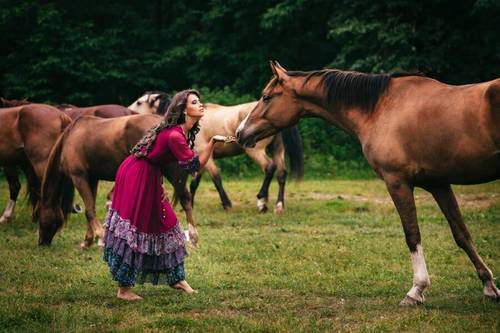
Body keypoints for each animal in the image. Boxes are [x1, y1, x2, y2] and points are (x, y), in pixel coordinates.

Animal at [37, 113, 199, 246]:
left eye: (40, 217)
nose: (41, 242)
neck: (70, 138)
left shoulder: (79, 177)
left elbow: (89, 211)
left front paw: (101, 237)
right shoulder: (92, 179)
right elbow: (91, 207)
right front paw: (88, 240)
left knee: (184, 198)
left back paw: (191, 236)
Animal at [129, 91, 302, 210]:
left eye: (139, 102)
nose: (128, 111)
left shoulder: (207, 158)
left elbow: (216, 178)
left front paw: (227, 204)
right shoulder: (198, 159)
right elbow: (195, 183)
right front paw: (190, 203)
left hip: (256, 150)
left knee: (269, 168)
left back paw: (262, 201)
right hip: (278, 149)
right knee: (281, 173)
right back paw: (279, 205)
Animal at [235, 61, 500, 304]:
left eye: (266, 97)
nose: (239, 133)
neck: (381, 108)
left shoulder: (397, 182)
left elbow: (412, 235)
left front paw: (416, 290)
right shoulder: (438, 184)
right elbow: (461, 234)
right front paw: (489, 286)